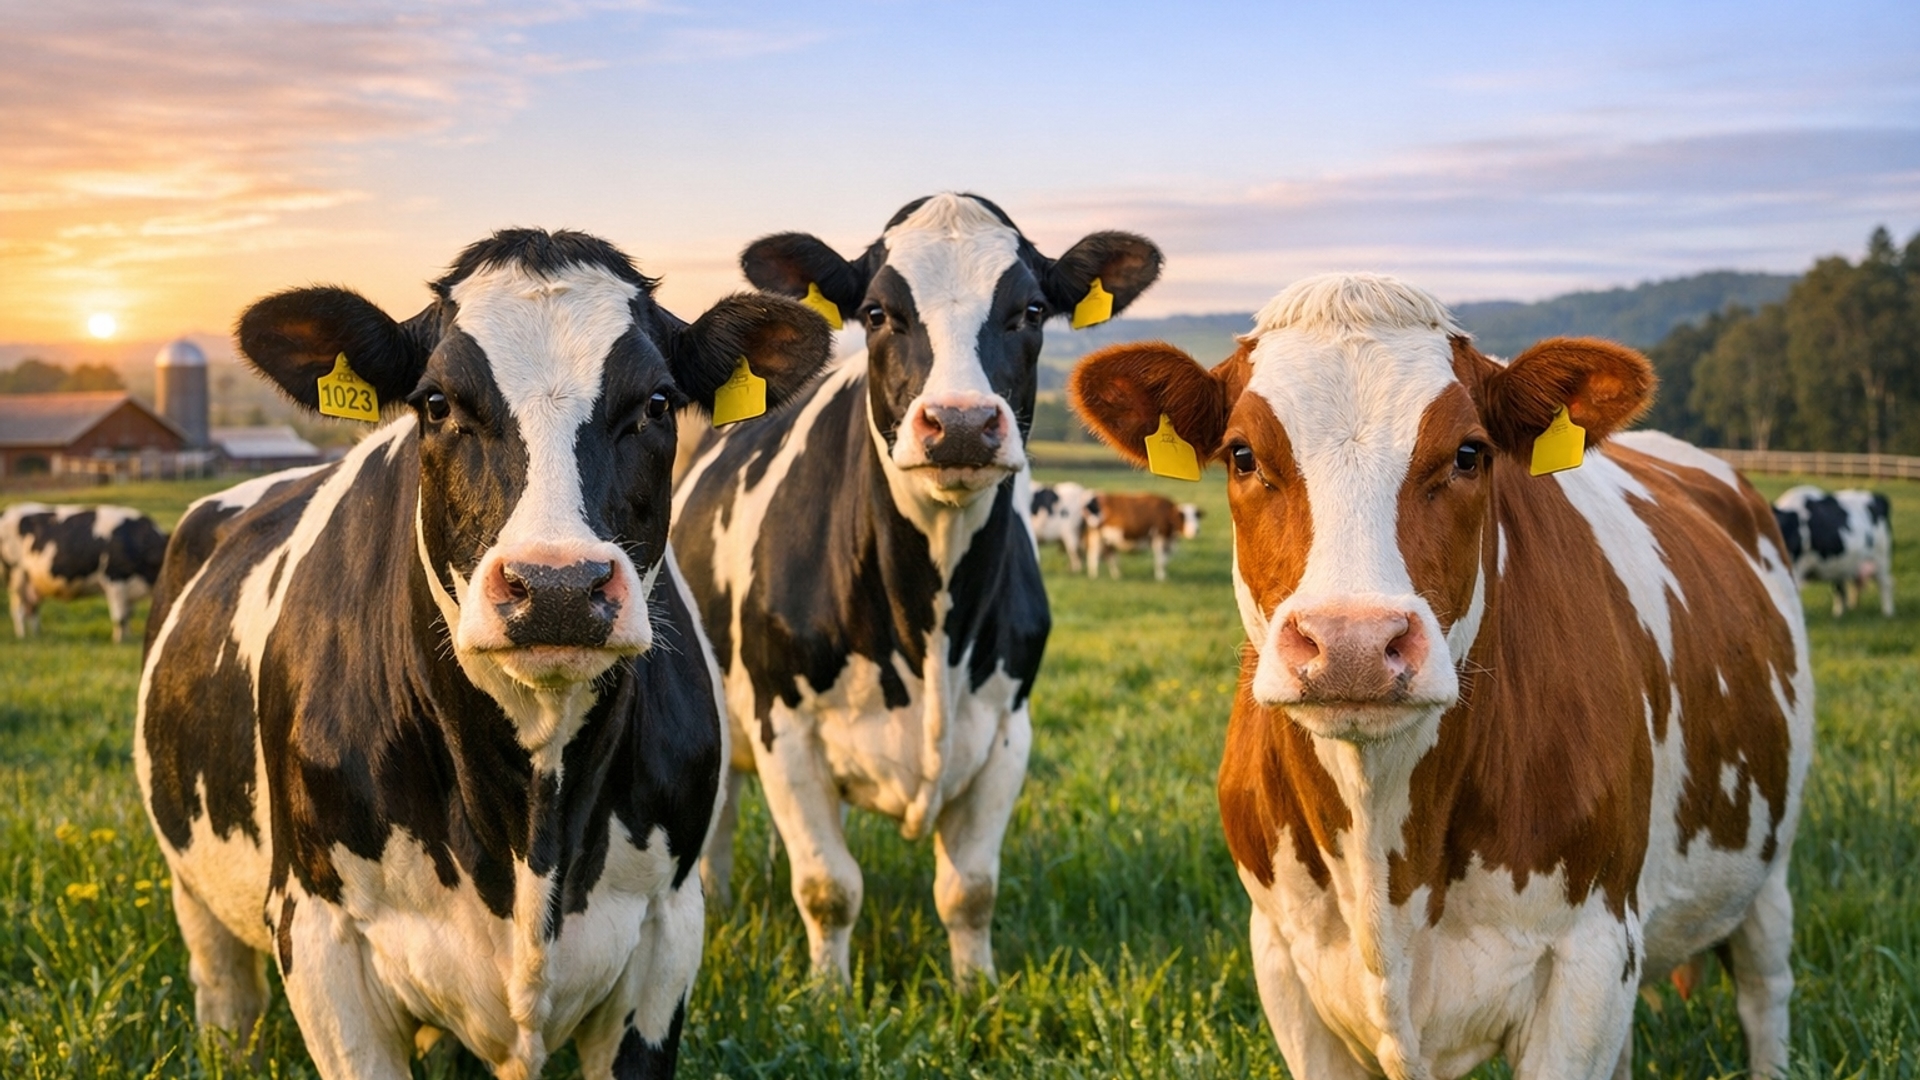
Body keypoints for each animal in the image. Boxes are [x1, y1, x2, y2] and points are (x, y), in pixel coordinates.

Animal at [1, 502, 167, 642]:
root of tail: (8, 511)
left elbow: (127, 615)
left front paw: (127, 637)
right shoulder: (114, 579)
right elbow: (119, 617)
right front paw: (119, 641)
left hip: (32, 582)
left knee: (32, 608)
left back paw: (36, 636)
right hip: (16, 574)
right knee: (18, 609)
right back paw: (22, 636)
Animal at [134, 229, 832, 1079]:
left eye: (658, 404)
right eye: (438, 403)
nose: (558, 585)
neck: (531, 821)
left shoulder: (669, 928)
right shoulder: (321, 933)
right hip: (192, 884)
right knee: (224, 991)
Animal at [672, 193, 1162, 982]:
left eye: (1030, 310)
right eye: (877, 313)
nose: (960, 422)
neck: (927, 618)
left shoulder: (1005, 732)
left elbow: (970, 888)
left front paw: (975, 987)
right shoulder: (786, 727)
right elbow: (828, 887)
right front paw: (829, 993)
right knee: (719, 814)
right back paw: (714, 899)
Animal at [1068, 274, 1812, 1080]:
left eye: (1468, 453)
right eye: (1241, 454)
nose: (1354, 643)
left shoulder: (1590, 955)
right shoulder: (1282, 957)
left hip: (1769, 870)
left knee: (1766, 996)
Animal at [1773, 484, 1894, 617]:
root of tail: (1878, 496)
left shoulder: (1794, 570)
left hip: (1880, 557)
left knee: (1886, 583)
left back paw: (1887, 613)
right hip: (1847, 563)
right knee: (1845, 587)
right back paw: (1845, 610)